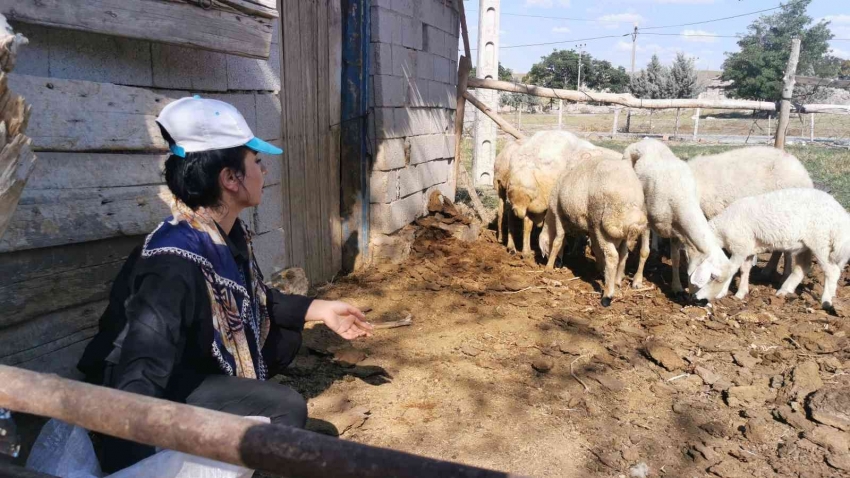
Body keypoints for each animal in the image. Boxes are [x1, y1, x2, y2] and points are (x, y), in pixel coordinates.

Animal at [540, 150, 644, 306]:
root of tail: (630, 201)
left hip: (602, 224)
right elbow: (594, 248)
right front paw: (600, 269)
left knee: (612, 256)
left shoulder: (558, 214)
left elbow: (559, 240)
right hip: (618, 230)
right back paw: (617, 282)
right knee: (623, 254)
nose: (556, 262)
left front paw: (549, 266)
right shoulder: (591, 228)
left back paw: (607, 295)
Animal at [616, 138, 728, 294]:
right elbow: (644, 252)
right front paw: (637, 281)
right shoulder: (646, 220)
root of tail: (647, 139)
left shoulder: (676, 230)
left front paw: (677, 286)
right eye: (713, 277)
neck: (681, 197)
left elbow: (676, 258)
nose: (704, 300)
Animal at [692, 189, 848, 312]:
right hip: (806, 244)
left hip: (821, 241)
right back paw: (784, 290)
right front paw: (741, 293)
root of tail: (840, 214)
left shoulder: (740, 247)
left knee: (832, 271)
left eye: (712, 277)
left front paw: (722, 293)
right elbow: (744, 269)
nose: (695, 298)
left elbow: (731, 271)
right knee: (802, 267)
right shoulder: (748, 248)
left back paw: (826, 301)